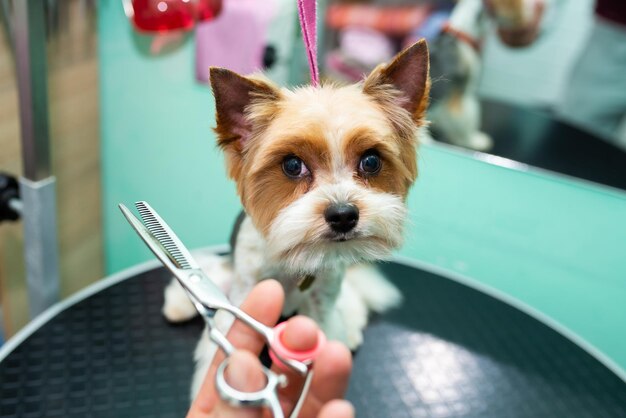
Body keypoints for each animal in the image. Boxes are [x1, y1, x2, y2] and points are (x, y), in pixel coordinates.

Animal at [161, 38, 428, 396]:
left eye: (371, 161)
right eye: (292, 165)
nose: (343, 215)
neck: (294, 260)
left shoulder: (322, 301)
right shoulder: (244, 294)